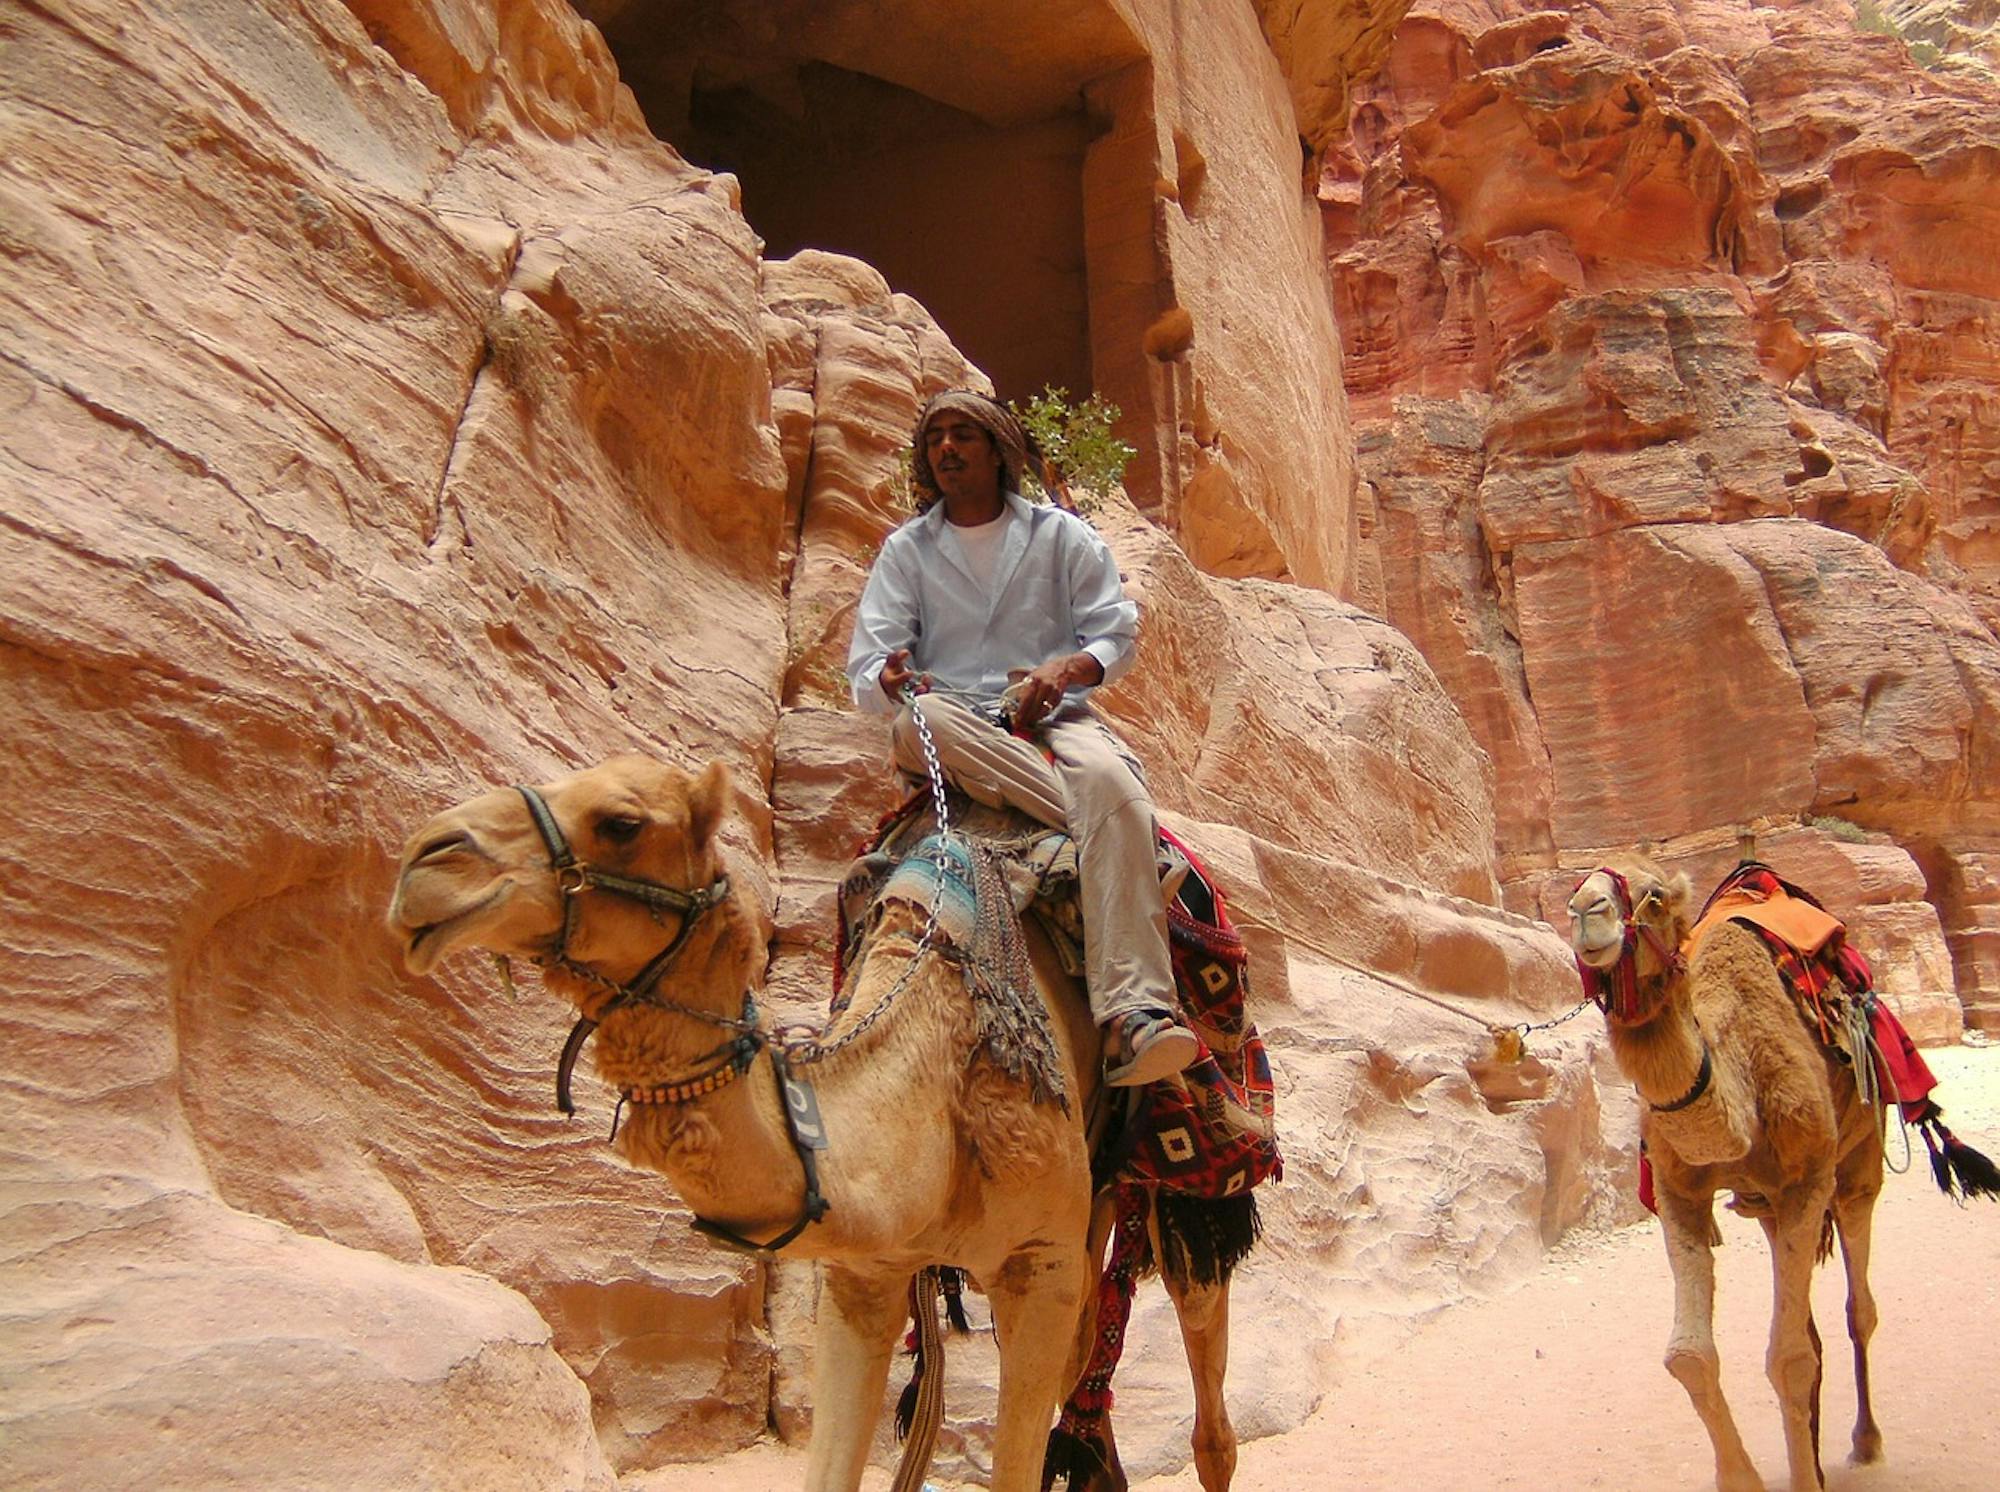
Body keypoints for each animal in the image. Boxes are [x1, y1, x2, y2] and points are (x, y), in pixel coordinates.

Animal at [386, 753, 1241, 1492]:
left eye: (622, 822)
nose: (425, 860)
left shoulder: (1039, 1262)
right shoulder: (867, 1270)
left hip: (1186, 1179)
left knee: (1206, 1389)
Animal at [1567, 852, 1888, 1492]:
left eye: (1655, 895)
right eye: (1571, 893)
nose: (1588, 911)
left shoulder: (1806, 1180)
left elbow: (1788, 1358)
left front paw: (1806, 1479)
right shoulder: (1677, 1191)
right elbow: (1689, 1356)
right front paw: (1747, 1478)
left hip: (1858, 1158)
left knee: (1857, 1306)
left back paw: (1864, 1441)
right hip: (1767, 1206)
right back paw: (1817, 1452)